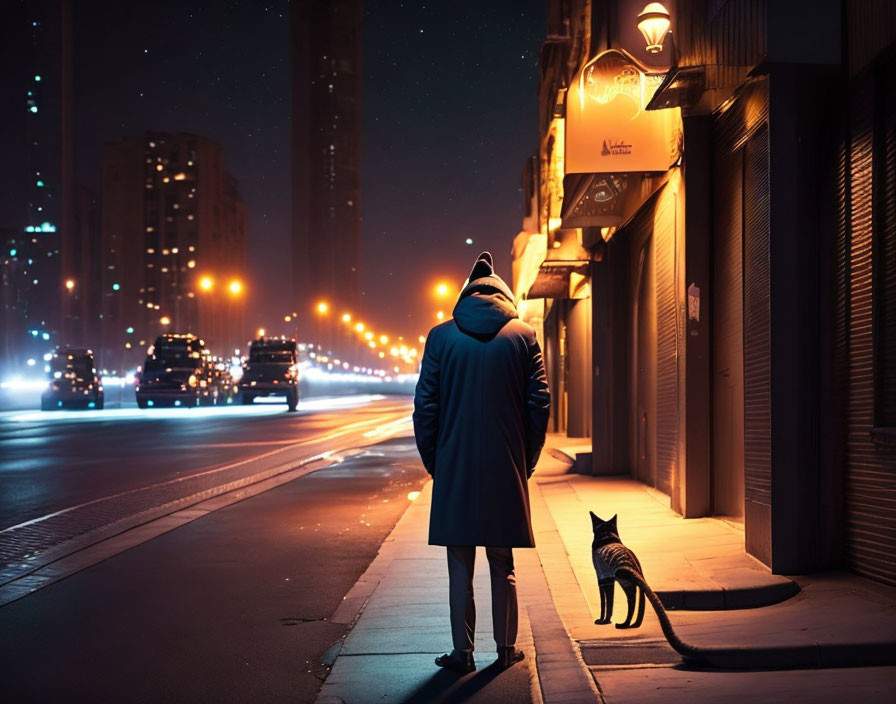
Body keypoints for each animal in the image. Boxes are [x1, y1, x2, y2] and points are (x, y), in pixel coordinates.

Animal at [588, 508, 896, 668]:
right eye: (601, 527)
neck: (608, 537)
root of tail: (630, 562)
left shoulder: (603, 578)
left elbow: (605, 602)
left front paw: (602, 620)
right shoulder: (609, 579)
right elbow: (613, 600)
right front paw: (608, 620)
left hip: (624, 578)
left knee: (632, 599)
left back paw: (625, 624)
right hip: (630, 579)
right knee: (637, 599)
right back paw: (631, 623)